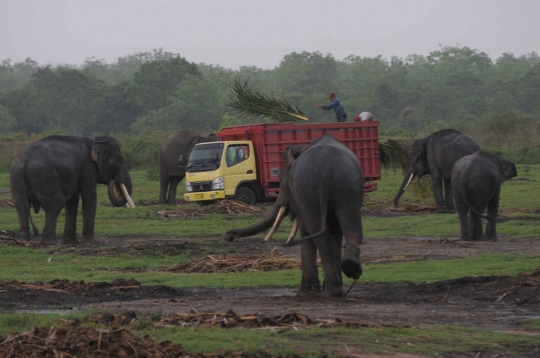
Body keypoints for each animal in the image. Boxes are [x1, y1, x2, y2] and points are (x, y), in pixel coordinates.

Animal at [221, 134, 364, 296]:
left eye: (280, 178)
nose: (228, 235)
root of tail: (326, 171)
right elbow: (335, 232)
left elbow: (307, 230)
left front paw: (306, 291)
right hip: (347, 186)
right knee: (351, 228)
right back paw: (347, 273)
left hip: (308, 190)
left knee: (320, 236)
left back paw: (329, 292)